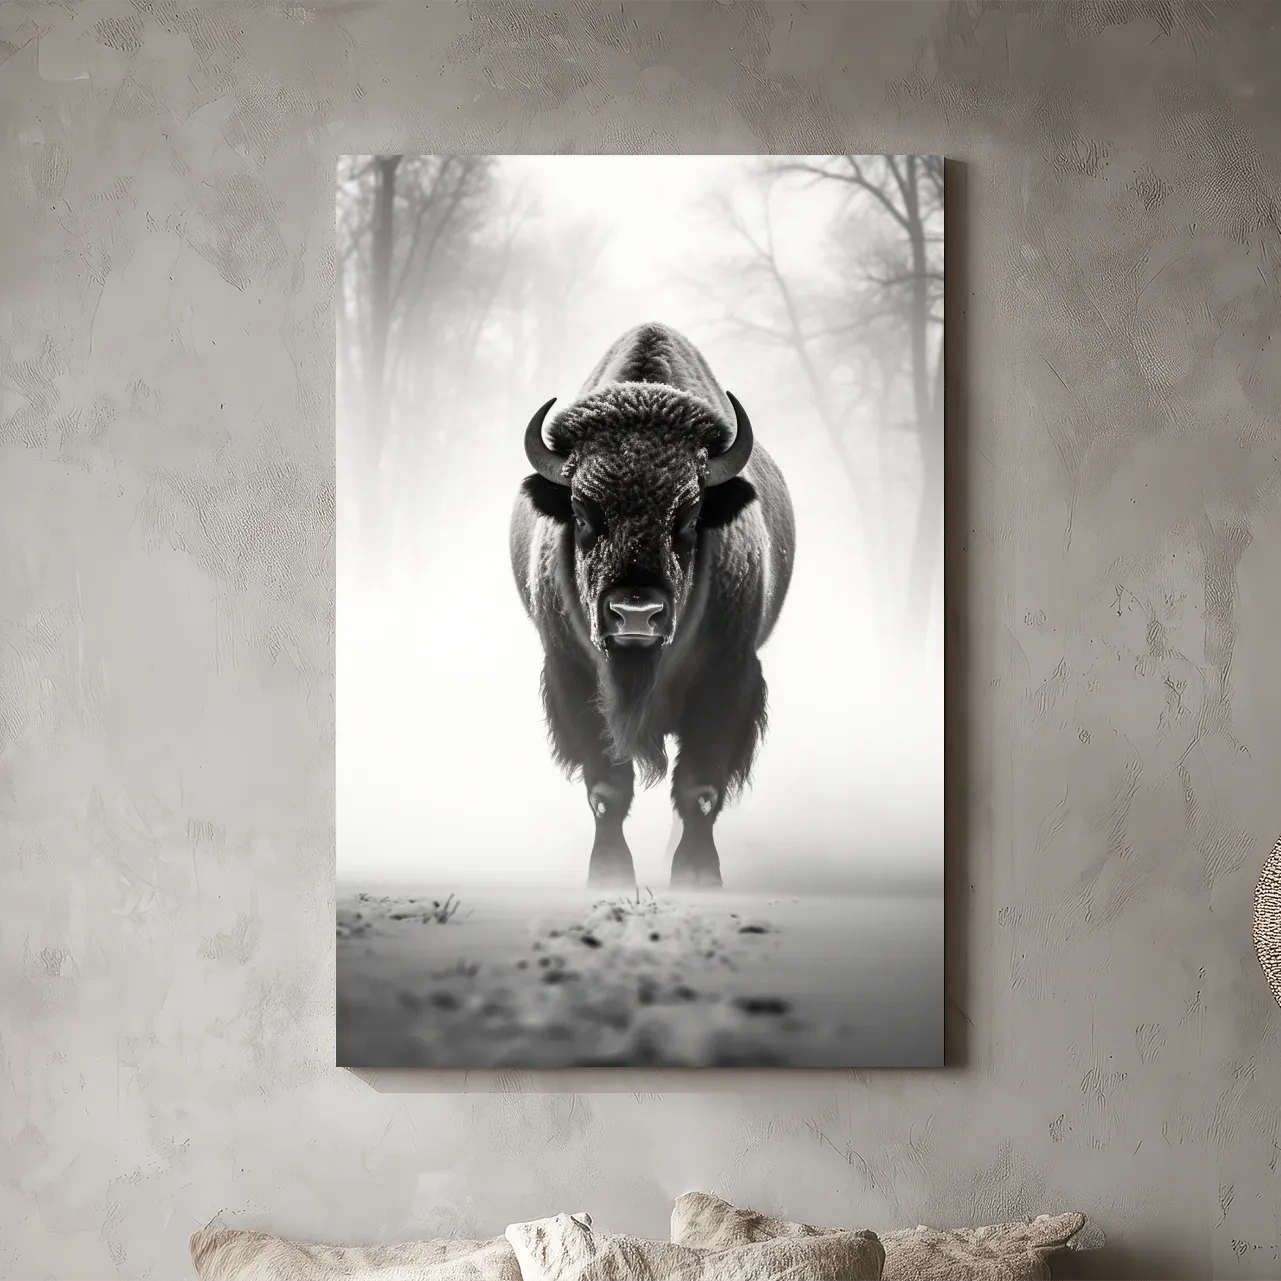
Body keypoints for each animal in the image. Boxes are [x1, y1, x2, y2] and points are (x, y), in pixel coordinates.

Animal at [509, 322, 795, 888]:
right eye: (582, 512)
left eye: (689, 515)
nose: (635, 613)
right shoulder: (573, 674)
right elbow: (606, 789)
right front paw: (609, 875)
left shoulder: (728, 674)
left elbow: (700, 788)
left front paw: (698, 877)